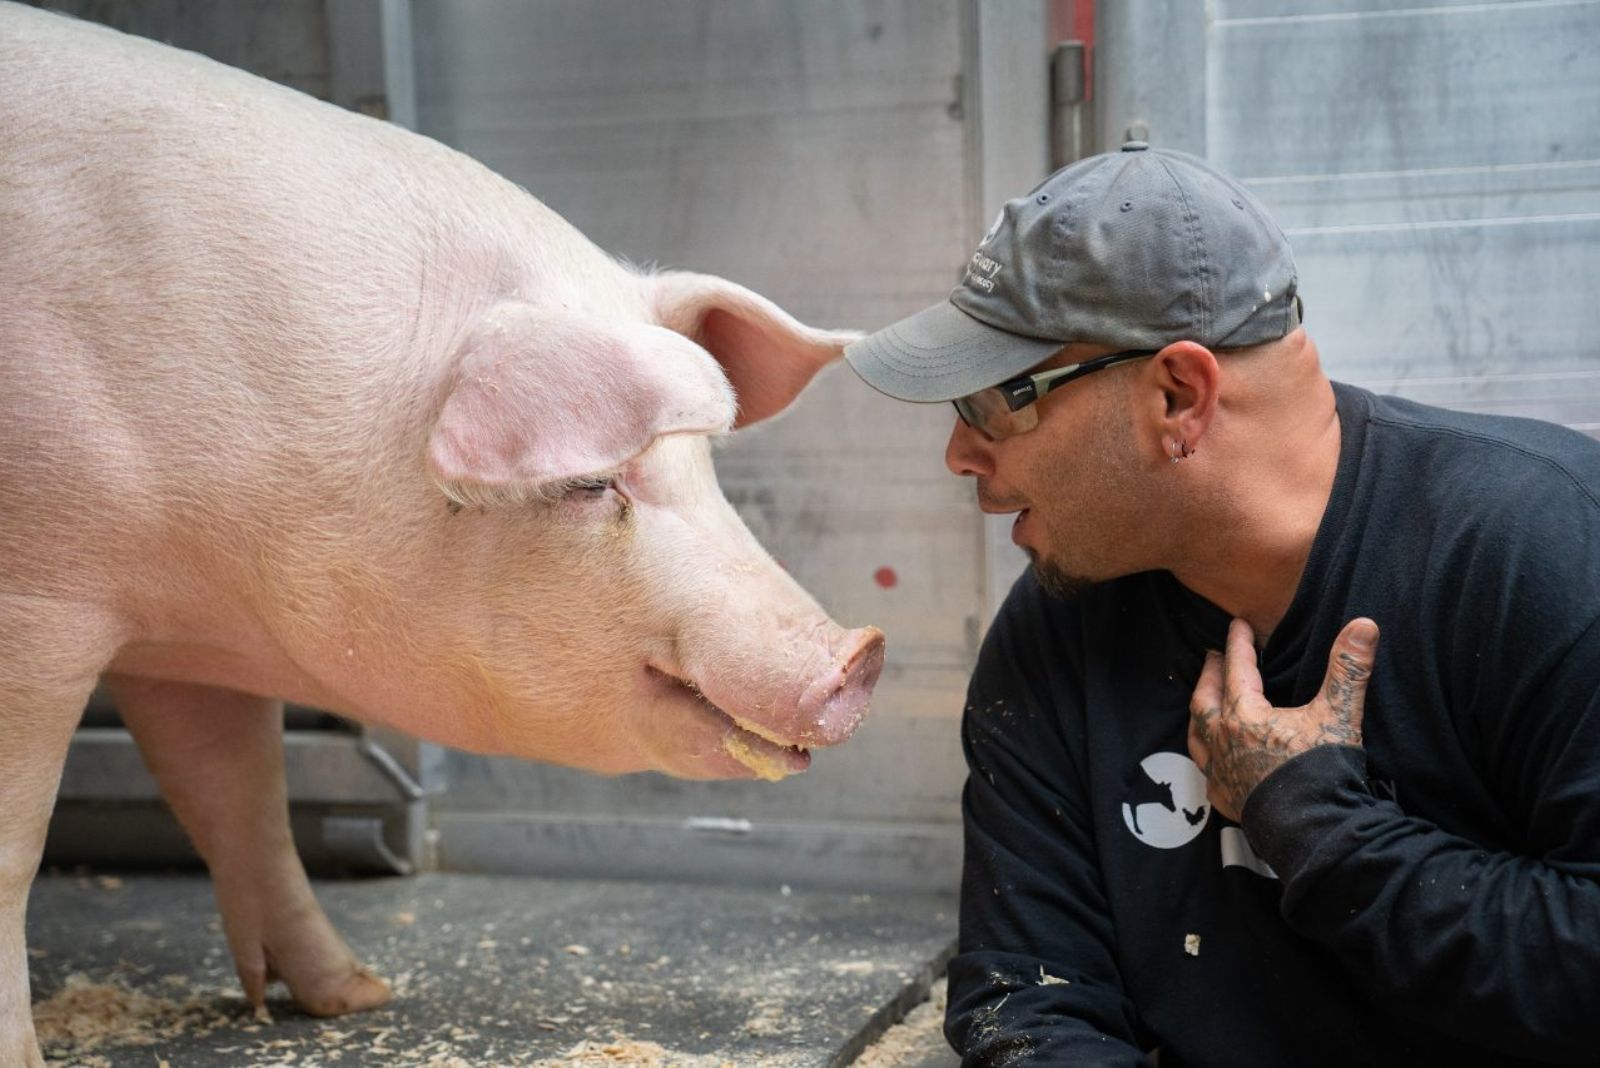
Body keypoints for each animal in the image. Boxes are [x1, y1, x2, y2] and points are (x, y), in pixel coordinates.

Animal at [0, 6, 889, 1061]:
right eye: (591, 481)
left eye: (704, 462)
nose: (859, 654)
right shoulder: (38, 600)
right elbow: (16, 847)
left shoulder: (188, 629)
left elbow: (241, 795)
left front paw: (352, 997)